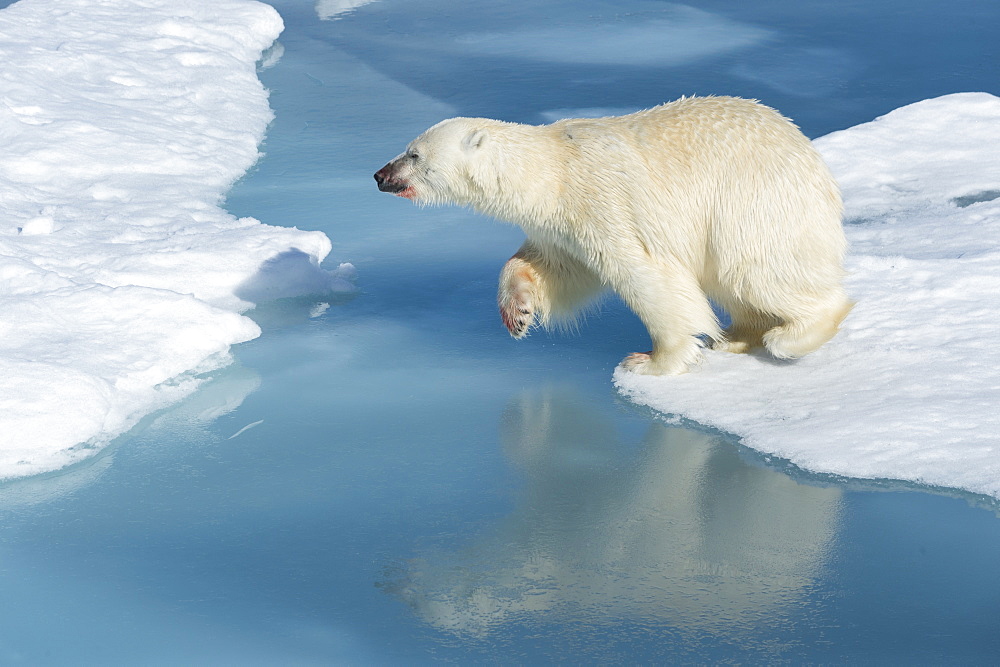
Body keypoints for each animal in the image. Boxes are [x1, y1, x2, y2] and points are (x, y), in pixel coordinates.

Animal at [376, 97, 852, 376]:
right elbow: (557, 267)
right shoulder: (559, 224)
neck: (553, 171)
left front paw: (651, 361)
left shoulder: (603, 202)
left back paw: (791, 335)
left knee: (756, 270)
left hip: (753, 203)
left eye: (414, 154)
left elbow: (645, 274)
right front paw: (519, 311)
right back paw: (738, 335)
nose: (380, 175)